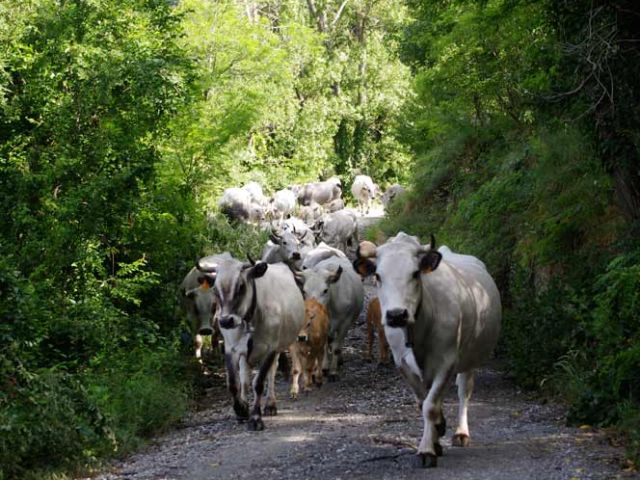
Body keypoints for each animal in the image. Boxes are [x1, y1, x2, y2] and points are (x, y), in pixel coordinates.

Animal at [356, 232, 500, 468]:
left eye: (415, 273)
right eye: (377, 275)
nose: (396, 315)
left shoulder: (446, 363)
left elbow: (430, 406)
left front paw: (427, 449)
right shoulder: (402, 363)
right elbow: (424, 402)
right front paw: (435, 437)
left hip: (470, 357)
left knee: (464, 391)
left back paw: (461, 433)